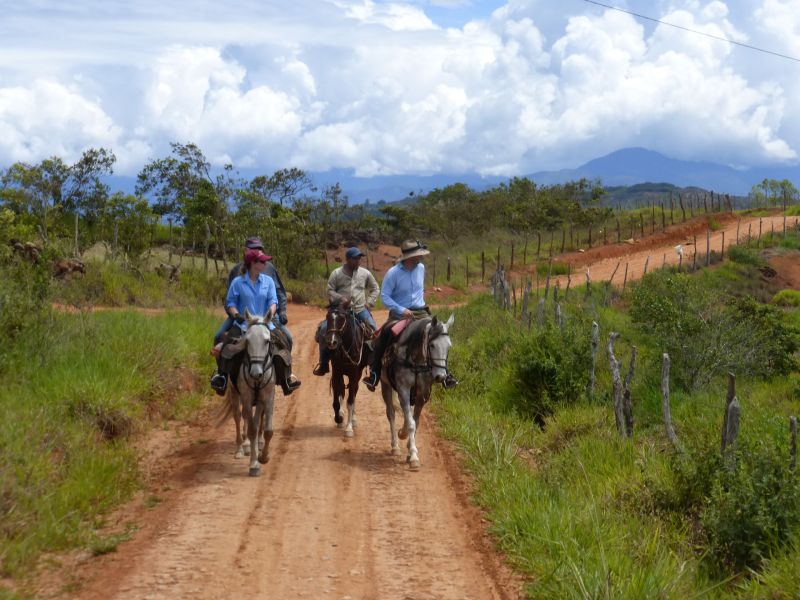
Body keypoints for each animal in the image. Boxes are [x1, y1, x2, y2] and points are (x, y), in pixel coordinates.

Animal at [324, 308, 374, 438]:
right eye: (328, 317)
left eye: (342, 319)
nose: (332, 342)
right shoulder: (336, 373)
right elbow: (336, 401)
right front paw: (339, 419)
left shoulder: (354, 375)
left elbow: (351, 401)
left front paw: (349, 428)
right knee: (342, 390)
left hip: (357, 375)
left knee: (354, 393)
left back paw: (353, 419)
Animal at [380, 314, 454, 468]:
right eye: (432, 345)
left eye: (449, 346)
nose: (440, 376)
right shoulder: (403, 390)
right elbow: (411, 424)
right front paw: (413, 456)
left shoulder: (422, 394)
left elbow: (415, 421)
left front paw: (409, 450)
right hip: (386, 386)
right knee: (391, 414)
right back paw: (395, 446)